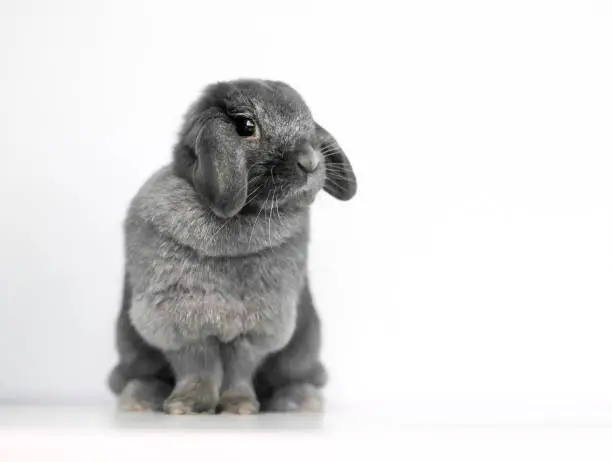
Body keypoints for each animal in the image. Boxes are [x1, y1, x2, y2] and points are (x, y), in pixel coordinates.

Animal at [107, 80, 356, 416]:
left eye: (309, 123)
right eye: (245, 126)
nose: (311, 161)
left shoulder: (257, 326)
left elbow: (240, 369)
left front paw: (239, 408)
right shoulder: (181, 321)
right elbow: (198, 367)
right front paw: (186, 406)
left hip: (302, 350)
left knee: (299, 377)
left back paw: (300, 402)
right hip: (131, 348)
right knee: (135, 376)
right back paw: (139, 400)